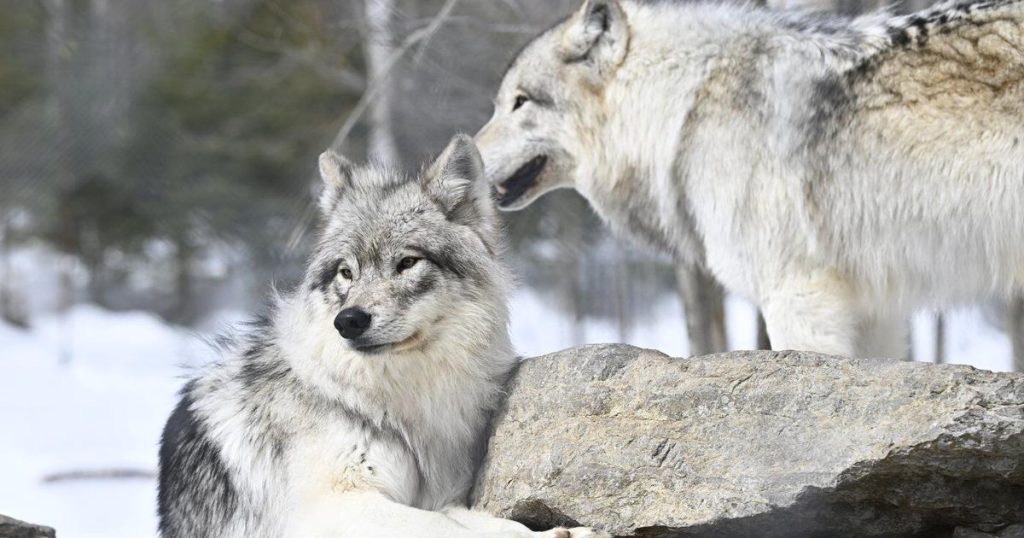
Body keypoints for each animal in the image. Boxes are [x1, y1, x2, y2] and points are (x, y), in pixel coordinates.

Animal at [157, 135, 604, 538]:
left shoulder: (440, 495)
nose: (348, 321)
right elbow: (447, 527)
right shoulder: (337, 506)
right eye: (346, 272)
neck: (397, 401)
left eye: (407, 262)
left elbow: (477, 520)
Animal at [474, 0, 1024, 358]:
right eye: (499, 103)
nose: (467, 157)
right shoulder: (874, 310)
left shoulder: (796, 296)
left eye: (520, 102)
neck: (681, 106)